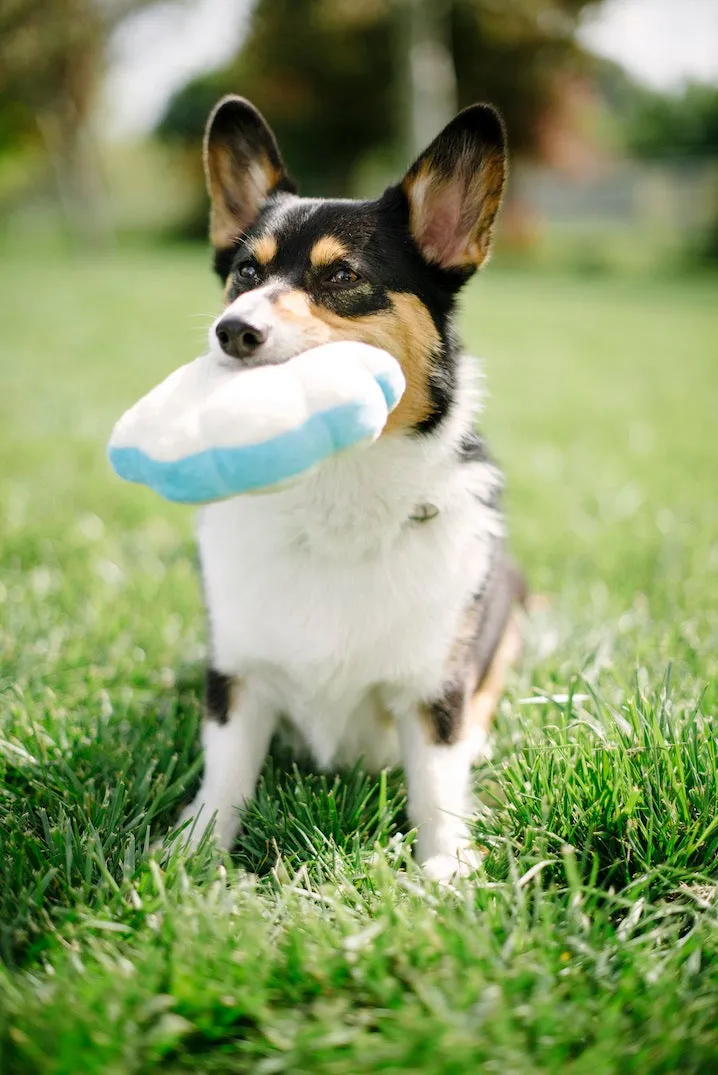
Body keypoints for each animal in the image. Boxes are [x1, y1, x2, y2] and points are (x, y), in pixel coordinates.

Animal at [174, 92, 522, 881]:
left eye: (340, 277)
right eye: (245, 272)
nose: (230, 331)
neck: (335, 493)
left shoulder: (434, 690)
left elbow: (436, 789)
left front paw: (447, 872)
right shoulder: (237, 677)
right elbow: (224, 777)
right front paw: (186, 858)